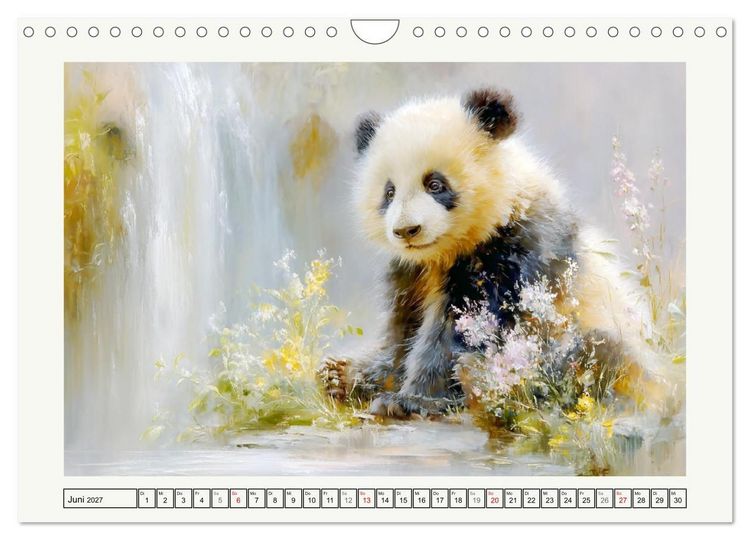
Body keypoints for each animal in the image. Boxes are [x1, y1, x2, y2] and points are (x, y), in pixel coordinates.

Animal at [322, 87, 649, 418]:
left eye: (435, 184)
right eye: (389, 192)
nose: (406, 230)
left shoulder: (512, 255)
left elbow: (462, 331)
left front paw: (410, 400)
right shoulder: (412, 273)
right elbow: (403, 326)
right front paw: (345, 375)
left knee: (595, 356)